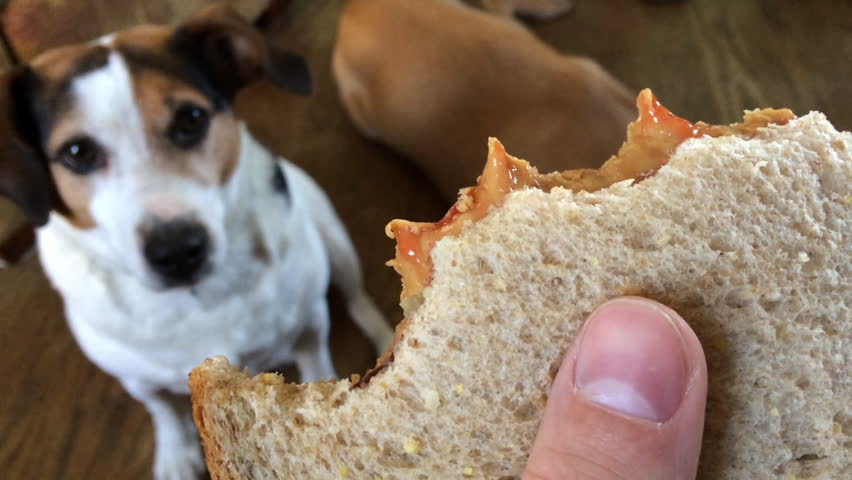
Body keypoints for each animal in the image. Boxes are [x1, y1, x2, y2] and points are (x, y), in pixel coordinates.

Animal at [0, 4, 392, 480]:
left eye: (191, 118)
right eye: (77, 152)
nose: (177, 251)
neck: (197, 299)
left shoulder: (311, 325)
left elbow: (318, 363)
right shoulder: (134, 377)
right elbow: (160, 408)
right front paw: (174, 452)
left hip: (333, 238)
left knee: (357, 297)